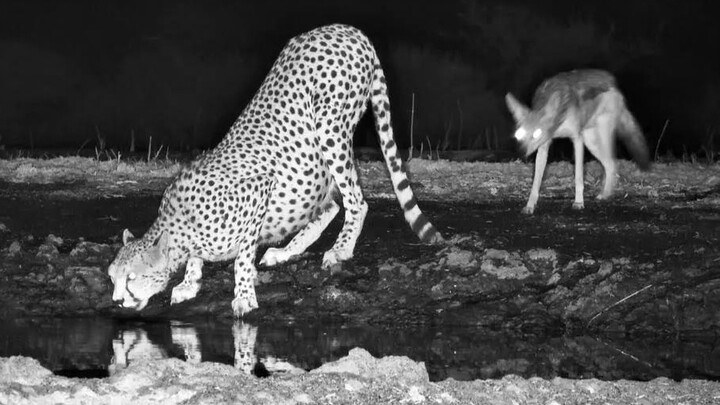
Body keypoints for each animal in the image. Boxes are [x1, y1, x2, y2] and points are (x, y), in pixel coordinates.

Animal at [108, 24, 444, 318]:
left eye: (133, 278)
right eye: (112, 277)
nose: (117, 301)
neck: (181, 226)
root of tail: (346, 28)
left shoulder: (258, 189)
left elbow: (242, 257)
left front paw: (243, 295)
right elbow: (198, 260)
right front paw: (189, 284)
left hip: (330, 129)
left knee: (355, 201)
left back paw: (340, 249)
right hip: (311, 160)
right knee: (331, 204)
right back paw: (285, 251)